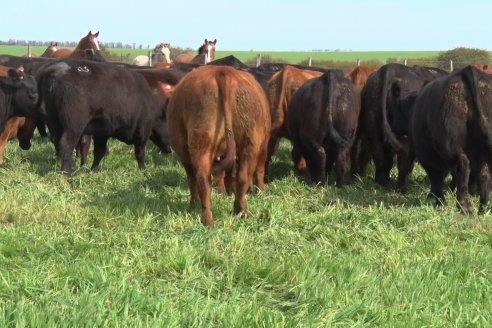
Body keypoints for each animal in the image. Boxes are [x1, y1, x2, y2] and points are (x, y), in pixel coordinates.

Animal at [36, 60, 171, 176]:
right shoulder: (142, 131)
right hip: (73, 125)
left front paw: (93, 170)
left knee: (57, 143)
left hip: (53, 121)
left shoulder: (103, 133)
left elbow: (99, 152)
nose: (170, 150)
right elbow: (140, 153)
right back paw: (70, 172)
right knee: (65, 145)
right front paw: (143, 169)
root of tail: (54, 70)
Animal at [167, 65, 270, 227]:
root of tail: (223, 71)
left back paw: (206, 218)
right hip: (250, 141)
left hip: (201, 143)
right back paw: (240, 212)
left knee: (202, 179)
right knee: (242, 178)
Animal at [356, 62, 448, 191]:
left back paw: (381, 182)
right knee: (402, 159)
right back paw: (401, 188)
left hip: (373, 129)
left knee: (379, 156)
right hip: (405, 136)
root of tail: (388, 69)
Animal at [414, 65, 492, 214]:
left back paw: (465, 207)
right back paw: (482, 209)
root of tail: (467, 70)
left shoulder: (427, 158)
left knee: (462, 166)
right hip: (482, 152)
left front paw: (439, 202)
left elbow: (436, 180)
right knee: (484, 175)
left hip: (451, 143)